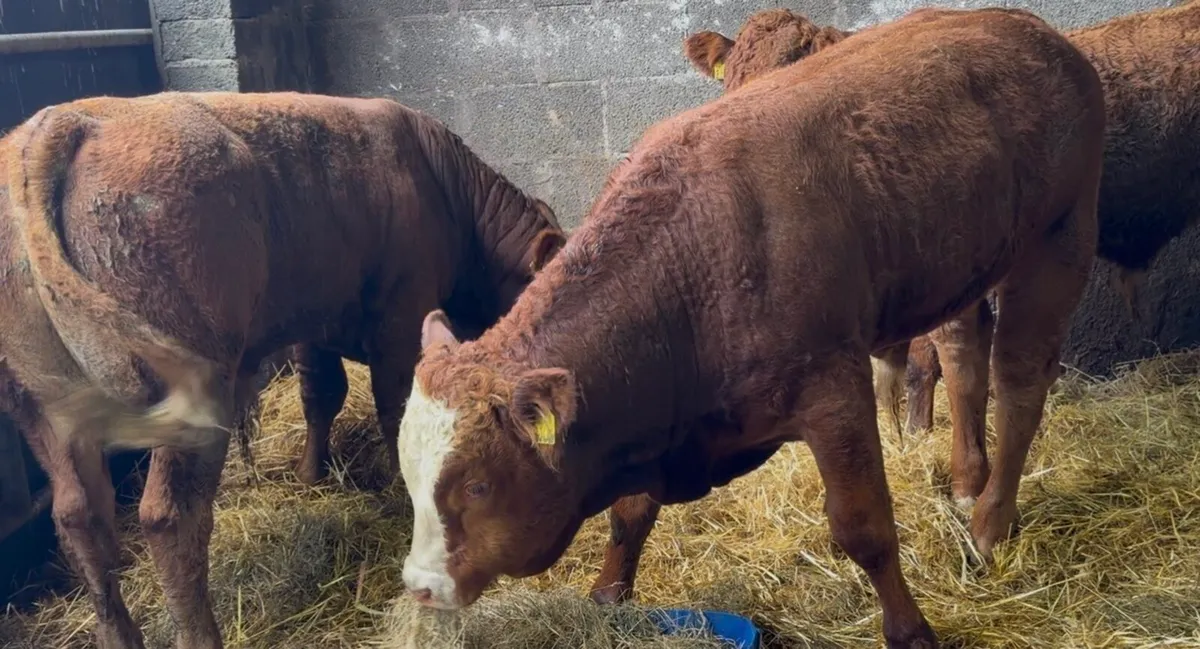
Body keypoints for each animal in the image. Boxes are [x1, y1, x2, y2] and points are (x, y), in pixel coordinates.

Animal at [0, 91, 567, 649]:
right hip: (188, 395)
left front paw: (309, 474)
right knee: (167, 515)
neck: (448, 192)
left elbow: (321, 395)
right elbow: (392, 407)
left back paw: (117, 634)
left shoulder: (313, 323)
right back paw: (200, 635)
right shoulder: (400, 314)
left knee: (78, 513)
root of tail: (65, 123)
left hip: (41, 405)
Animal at [390, 7, 1107, 648]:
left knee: (1020, 380)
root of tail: (1031, 28)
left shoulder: (832, 388)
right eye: (409, 477)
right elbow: (630, 515)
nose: (420, 585)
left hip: (1061, 236)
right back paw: (964, 485)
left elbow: (865, 527)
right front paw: (607, 598)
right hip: (964, 260)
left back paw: (988, 524)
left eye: (477, 485)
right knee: (964, 352)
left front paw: (911, 632)